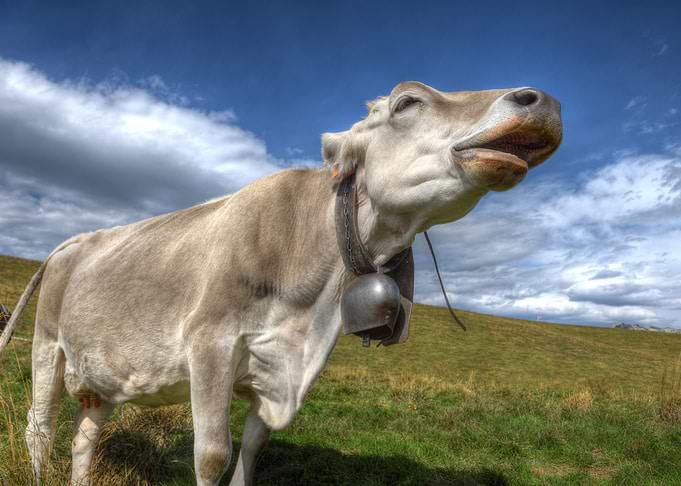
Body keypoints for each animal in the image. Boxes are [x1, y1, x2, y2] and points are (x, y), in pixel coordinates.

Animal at [0, 81, 562, 485]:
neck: (307, 311)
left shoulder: (277, 369)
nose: (543, 101)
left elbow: (252, 449)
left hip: (104, 374)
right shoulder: (209, 342)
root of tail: (75, 240)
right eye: (407, 101)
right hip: (48, 345)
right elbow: (211, 455)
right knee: (39, 429)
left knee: (83, 435)